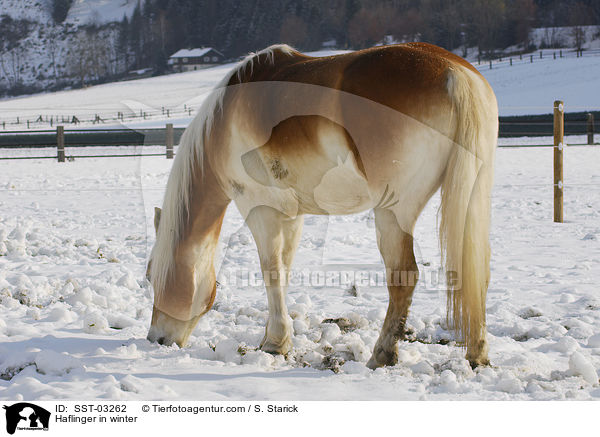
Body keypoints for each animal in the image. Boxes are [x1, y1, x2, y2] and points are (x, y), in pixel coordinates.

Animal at [145, 43, 496, 368]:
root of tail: (454, 73)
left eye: (151, 275)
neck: (222, 122)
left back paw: (381, 354)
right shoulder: (292, 216)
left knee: (403, 276)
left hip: (394, 211)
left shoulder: (260, 209)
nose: (155, 339)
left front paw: (274, 343)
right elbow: (284, 271)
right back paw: (476, 353)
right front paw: (274, 337)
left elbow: (271, 271)